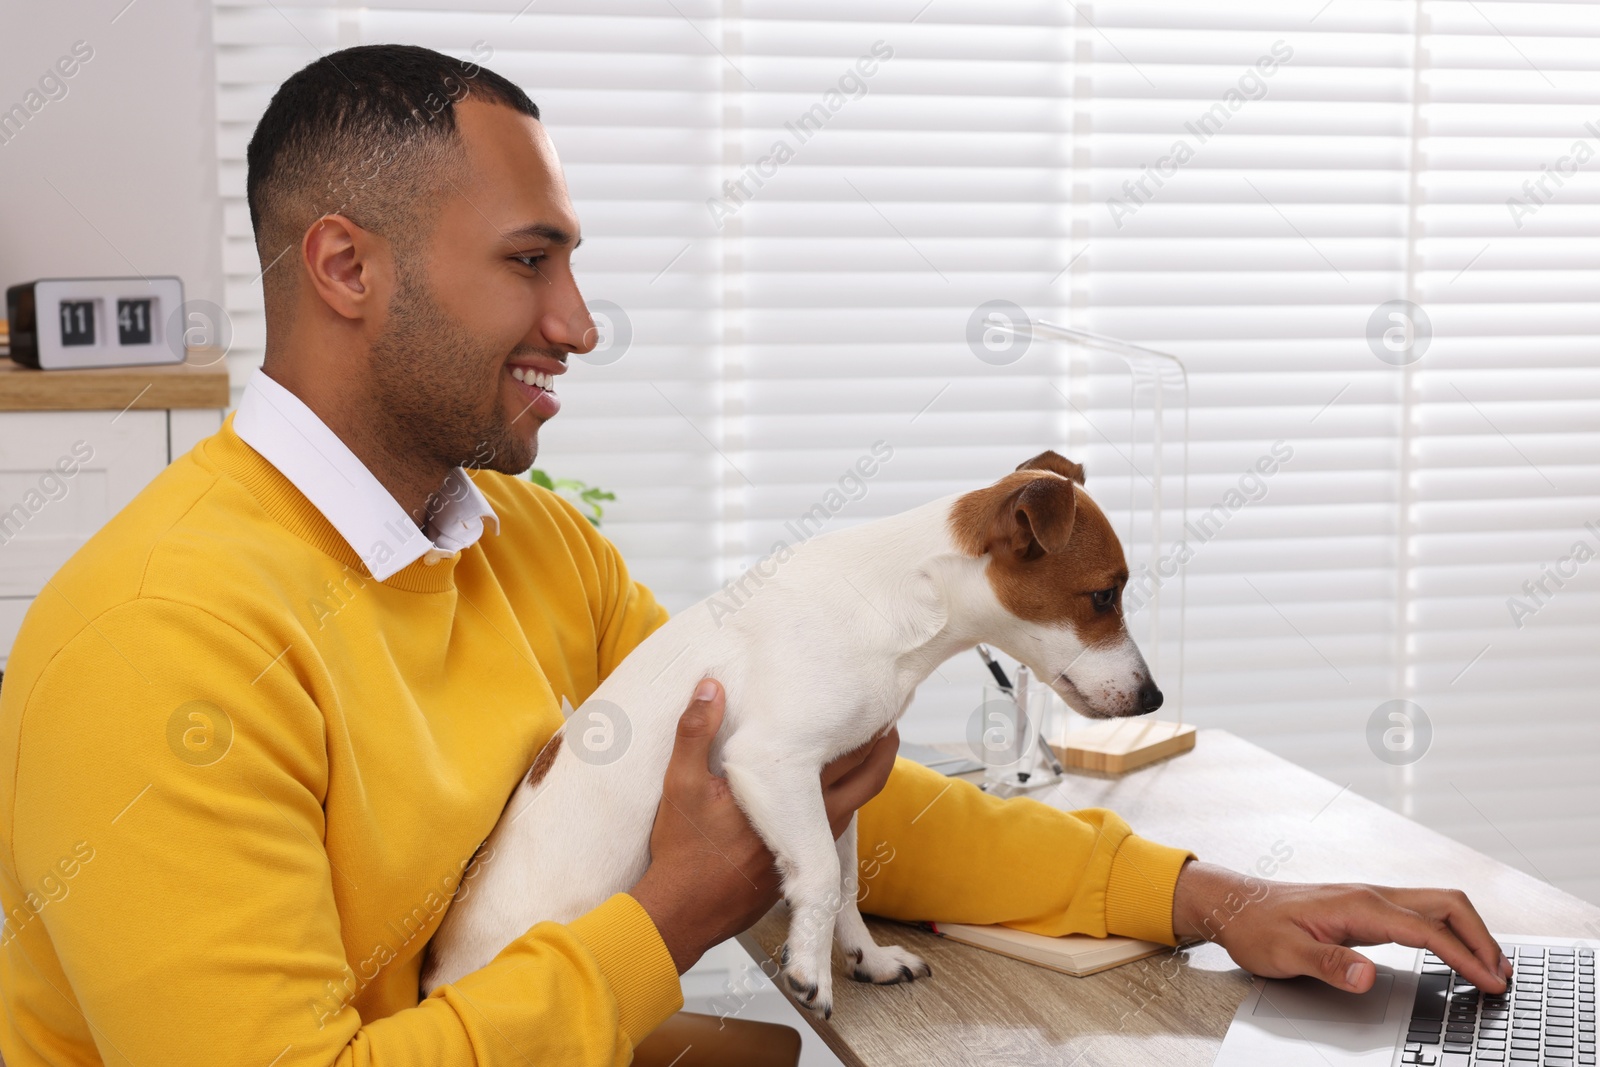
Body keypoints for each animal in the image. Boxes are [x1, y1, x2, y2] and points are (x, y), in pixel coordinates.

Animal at [419, 451, 1158, 1017]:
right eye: (1104, 595)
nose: (1154, 696)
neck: (900, 604)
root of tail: (438, 976)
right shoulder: (771, 763)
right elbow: (823, 874)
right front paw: (810, 966)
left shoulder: (836, 784)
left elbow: (848, 882)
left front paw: (866, 957)